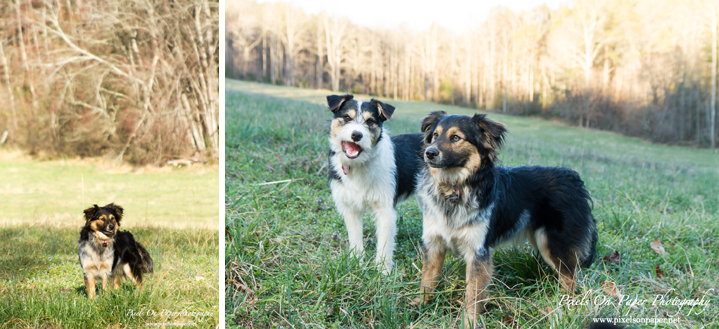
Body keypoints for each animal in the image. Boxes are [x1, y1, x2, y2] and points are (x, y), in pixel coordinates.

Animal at [328, 93, 424, 272]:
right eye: (347, 117)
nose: (356, 135)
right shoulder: (350, 209)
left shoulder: (385, 211)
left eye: (370, 121)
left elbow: (384, 245)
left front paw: (382, 272)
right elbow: (355, 239)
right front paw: (356, 264)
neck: (360, 164)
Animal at [414, 111, 600, 326]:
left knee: (571, 280)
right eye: (435, 135)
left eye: (455, 137)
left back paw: (567, 310)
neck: (454, 188)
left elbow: (473, 295)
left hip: (553, 244)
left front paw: (470, 322)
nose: (429, 153)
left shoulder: (478, 251)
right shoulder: (434, 244)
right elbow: (427, 281)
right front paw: (418, 308)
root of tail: (574, 180)